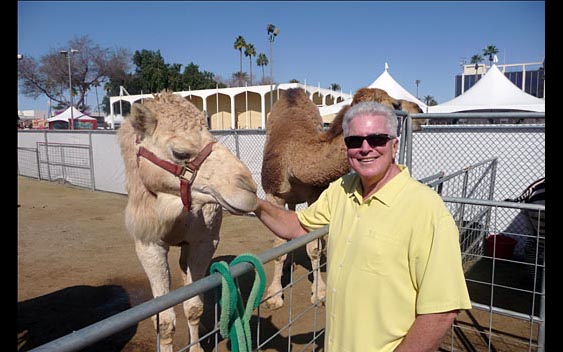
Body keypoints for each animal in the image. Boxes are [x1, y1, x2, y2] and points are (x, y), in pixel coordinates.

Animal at [120, 91, 262, 352]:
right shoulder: (149, 245)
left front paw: (195, 348)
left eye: (213, 137)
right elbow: (164, 320)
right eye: (180, 152)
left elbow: (194, 306)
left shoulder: (204, 242)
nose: (249, 187)